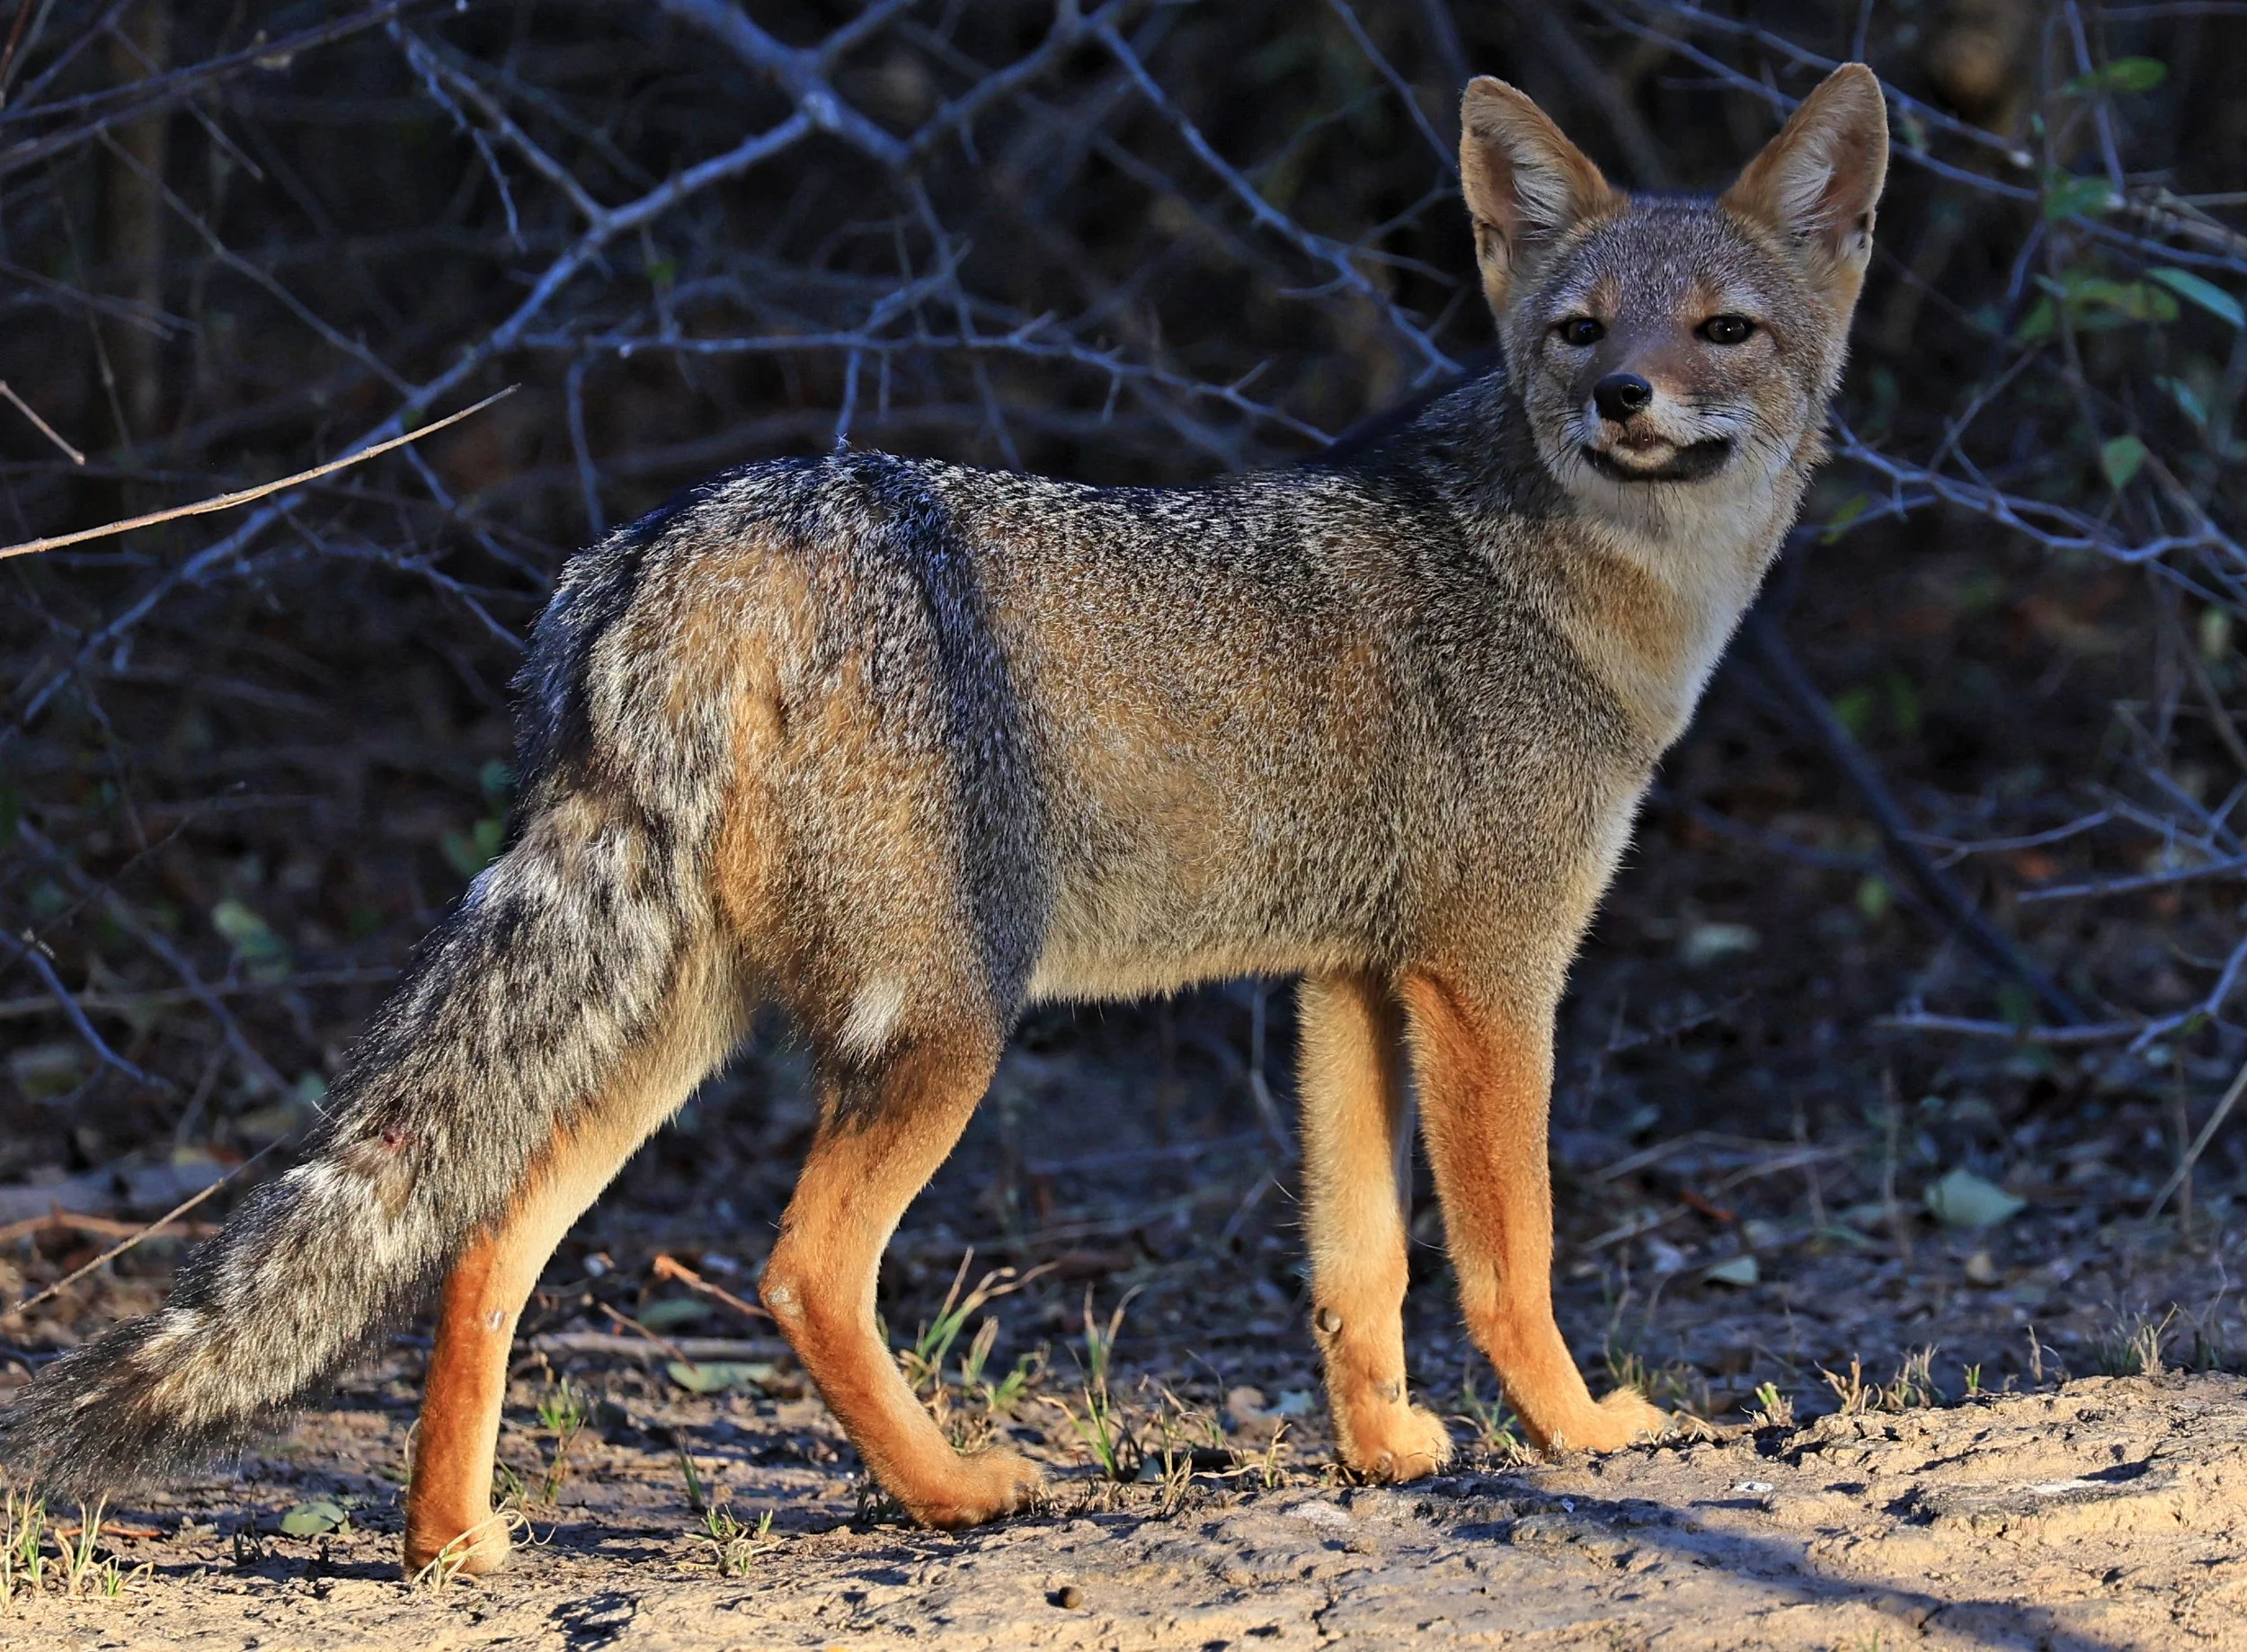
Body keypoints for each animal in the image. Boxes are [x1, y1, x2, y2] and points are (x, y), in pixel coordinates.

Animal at [0, 65, 1886, 1574]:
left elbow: (1360, 1261)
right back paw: (953, 1493)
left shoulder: (1347, 981)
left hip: (677, 1029)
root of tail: (701, 534)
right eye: (1582, 331)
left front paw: (1388, 1452)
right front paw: (1579, 1433)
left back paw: (452, 1542)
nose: (1624, 402)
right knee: (797, 1270)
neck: (1575, 594)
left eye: (1720, 329)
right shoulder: (1490, 978)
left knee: (482, 1244)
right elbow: (1508, 1252)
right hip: (950, 1020)